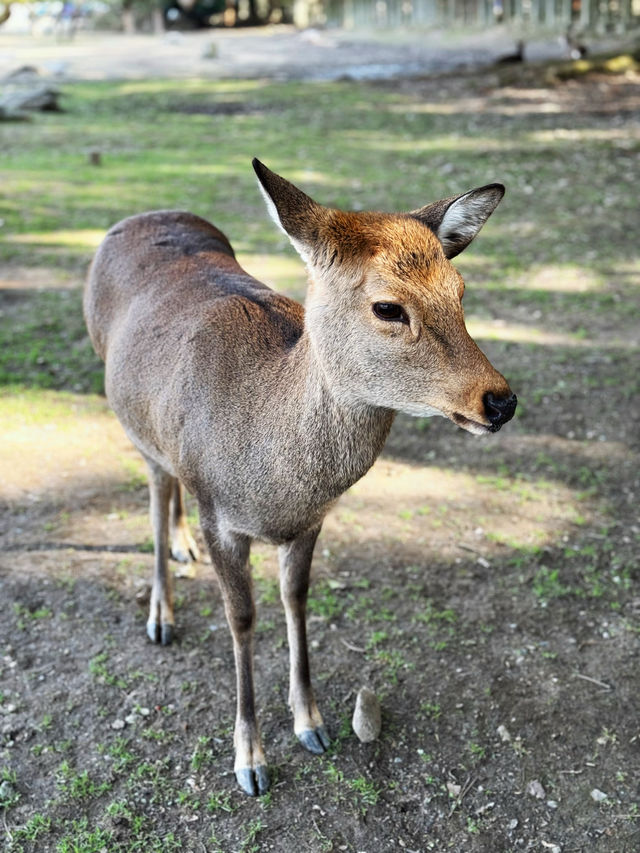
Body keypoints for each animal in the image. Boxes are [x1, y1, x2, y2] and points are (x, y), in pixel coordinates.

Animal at [84, 158, 516, 792]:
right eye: (388, 307)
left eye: (459, 291)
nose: (501, 402)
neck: (274, 484)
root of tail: (142, 214)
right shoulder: (222, 519)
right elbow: (241, 619)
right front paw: (250, 759)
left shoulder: (311, 522)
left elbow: (296, 598)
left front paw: (311, 723)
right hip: (128, 417)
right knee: (158, 489)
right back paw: (161, 614)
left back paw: (183, 554)